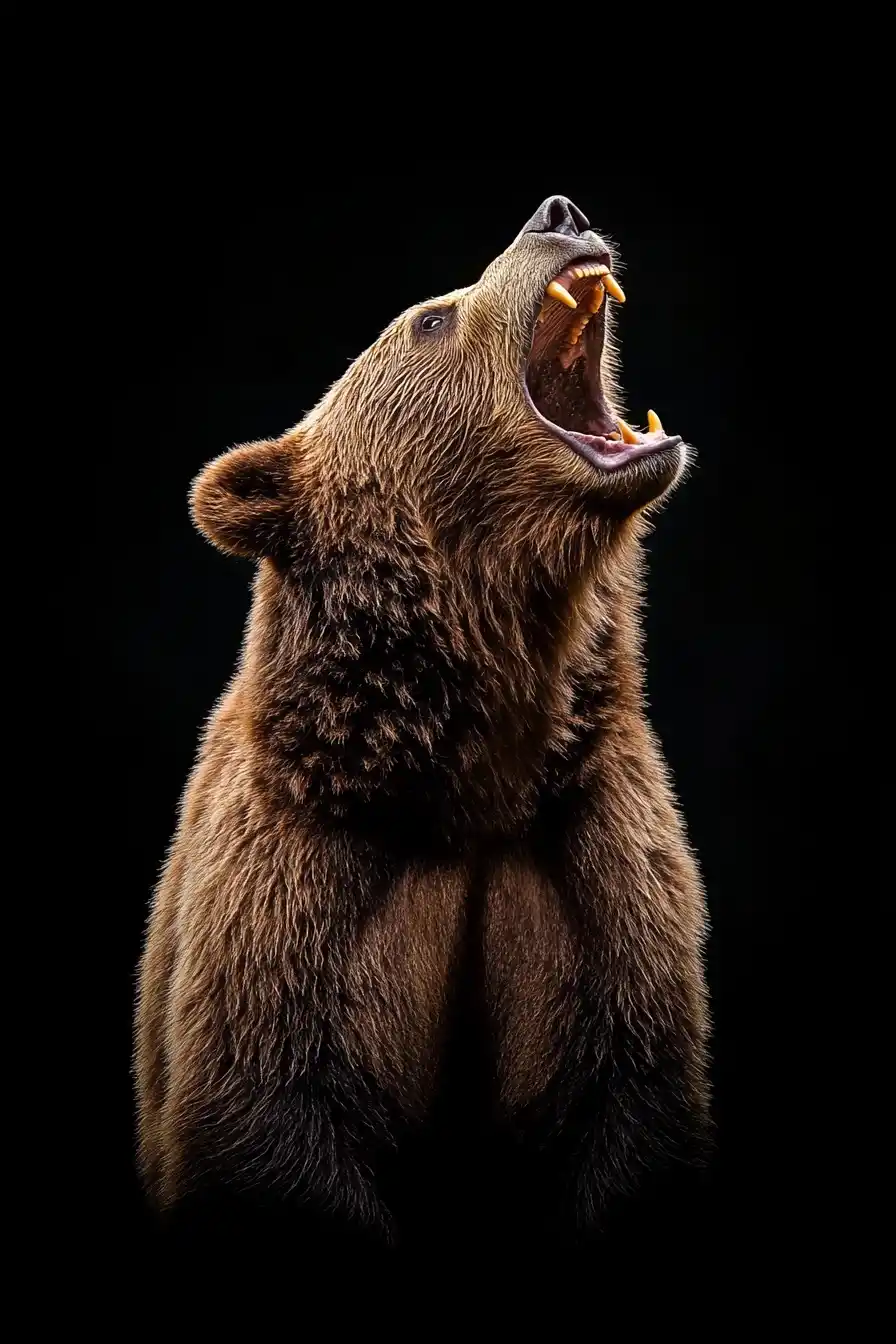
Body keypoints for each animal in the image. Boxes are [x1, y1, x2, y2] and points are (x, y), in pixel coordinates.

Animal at [134, 194, 710, 1261]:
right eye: (431, 318)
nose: (559, 211)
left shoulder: (598, 856)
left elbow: (634, 1090)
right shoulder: (297, 881)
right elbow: (266, 1111)